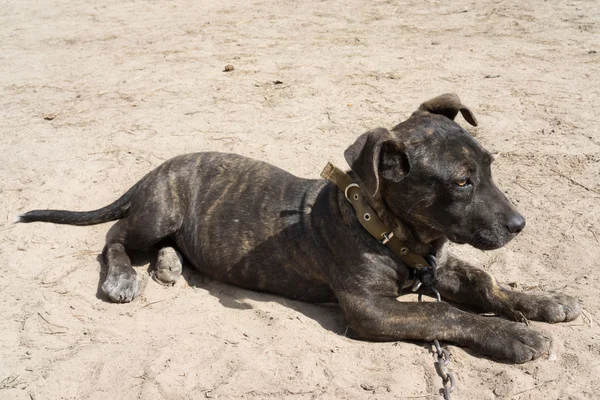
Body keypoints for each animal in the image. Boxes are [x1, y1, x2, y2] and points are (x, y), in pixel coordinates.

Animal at [18, 94, 580, 362]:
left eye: (489, 166)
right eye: (462, 182)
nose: (520, 225)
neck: (387, 229)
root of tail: (156, 169)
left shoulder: (435, 267)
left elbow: (484, 282)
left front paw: (540, 301)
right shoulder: (371, 310)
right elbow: (445, 316)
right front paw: (514, 335)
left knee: (162, 245)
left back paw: (170, 265)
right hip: (157, 212)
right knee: (114, 237)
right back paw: (122, 277)